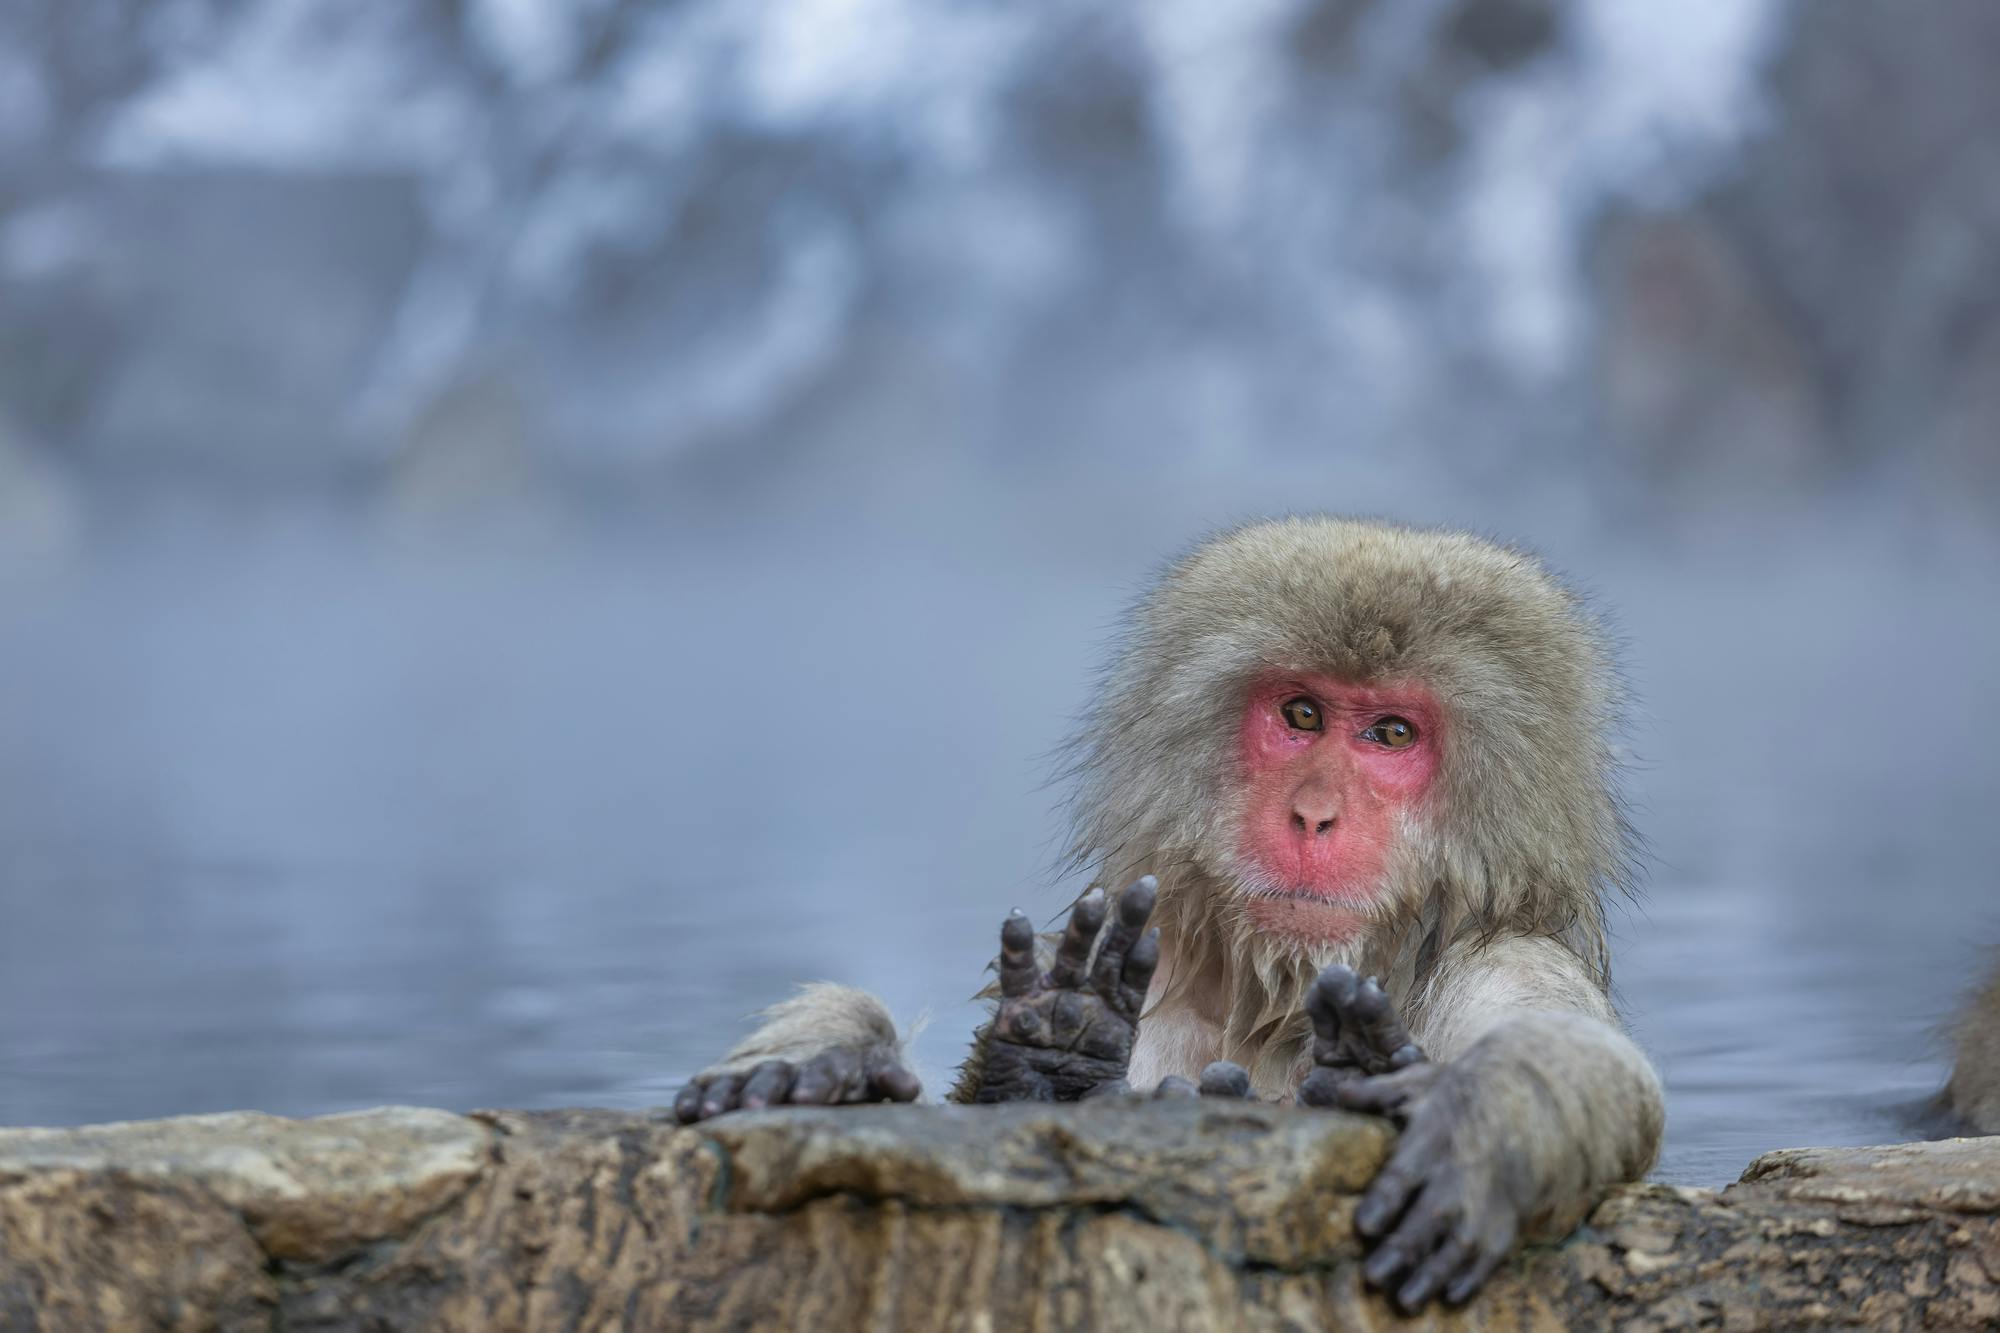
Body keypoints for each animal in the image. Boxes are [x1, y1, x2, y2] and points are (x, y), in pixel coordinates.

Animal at [674, 517, 1665, 1312]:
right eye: (1301, 713)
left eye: (1391, 733)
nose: (1314, 814)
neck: (1279, 1001)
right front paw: (849, 1063)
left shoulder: (1506, 956)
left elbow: (1595, 1063)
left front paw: (1481, 1119)